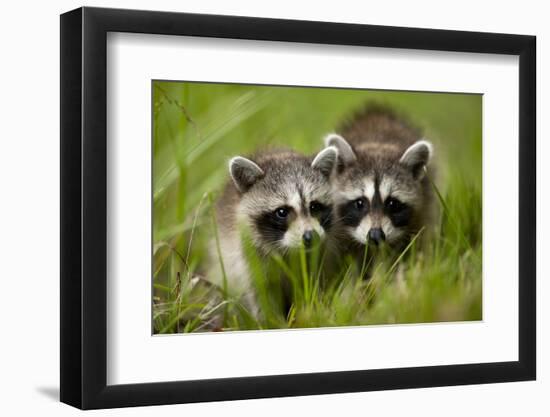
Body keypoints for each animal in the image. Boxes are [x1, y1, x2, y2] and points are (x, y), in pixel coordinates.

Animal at [211, 146, 340, 316]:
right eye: (282, 212)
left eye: (314, 206)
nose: (311, 236)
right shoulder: (249, 259)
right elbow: (262, 296)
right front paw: (270, 319)